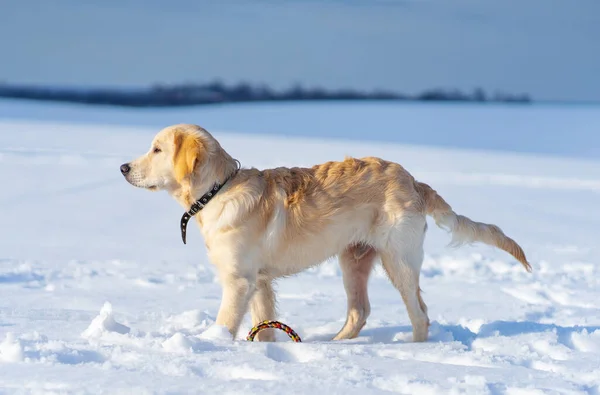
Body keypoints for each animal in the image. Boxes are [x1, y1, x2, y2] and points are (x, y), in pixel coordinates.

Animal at [120, 124, 528, 344]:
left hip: (398, 259)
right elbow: (263, 325)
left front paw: (214, 345)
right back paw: (335, 345)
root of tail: (412, 179)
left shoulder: (238, 280)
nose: (123, 167)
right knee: (360, 311)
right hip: (354, 258)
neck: (217, 190)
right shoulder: (260, 281)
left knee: (420, 314)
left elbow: (225, 322)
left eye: (156, 149)